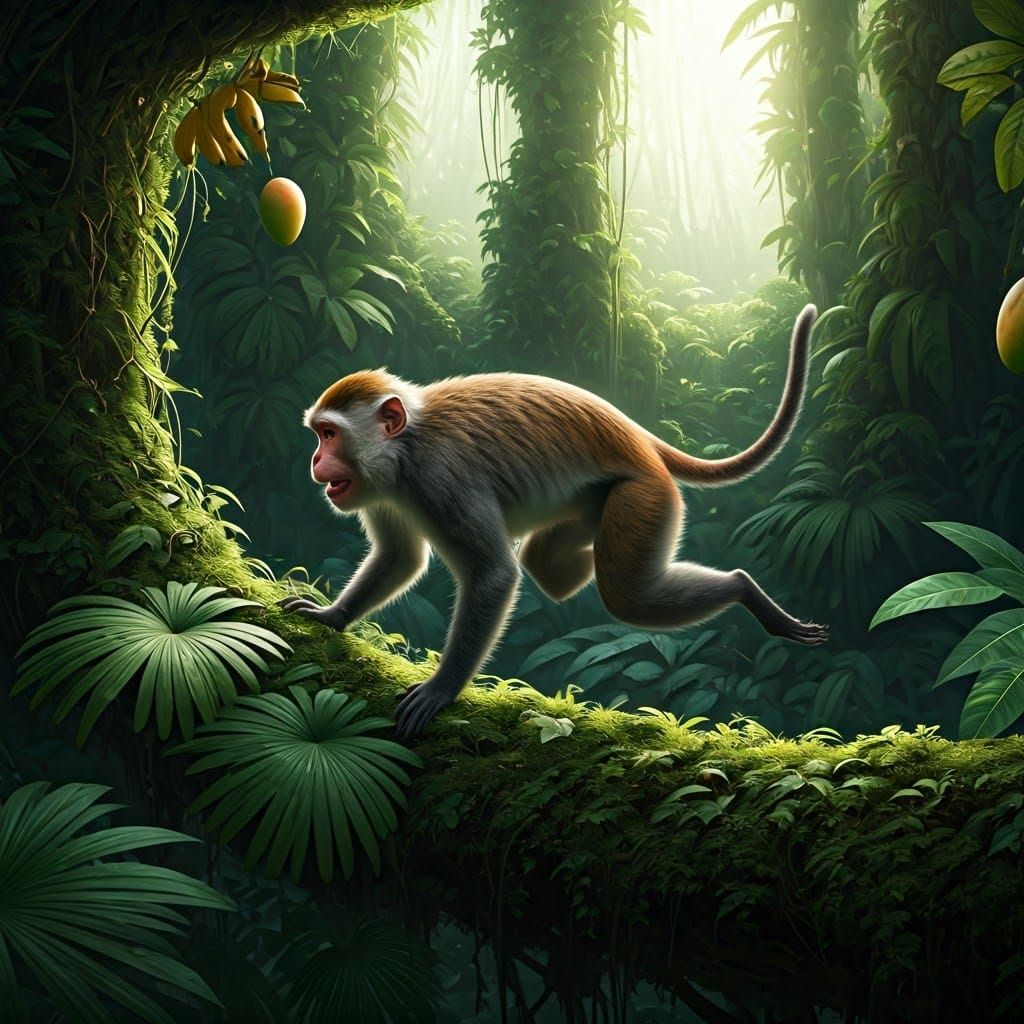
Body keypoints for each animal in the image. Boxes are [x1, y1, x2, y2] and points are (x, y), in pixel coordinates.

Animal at [280, 304, 826, 738]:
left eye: (330, 434)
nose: (315, 462)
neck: (405, 450)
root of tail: (639, 438)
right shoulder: (382, 494)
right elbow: (400, 557)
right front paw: (333, 616)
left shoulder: (444, 480)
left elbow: (494, 576)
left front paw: (443, 688)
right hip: (599, 499)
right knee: (547, 560)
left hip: (645, 493)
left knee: (623, 593)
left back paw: (742, 587)